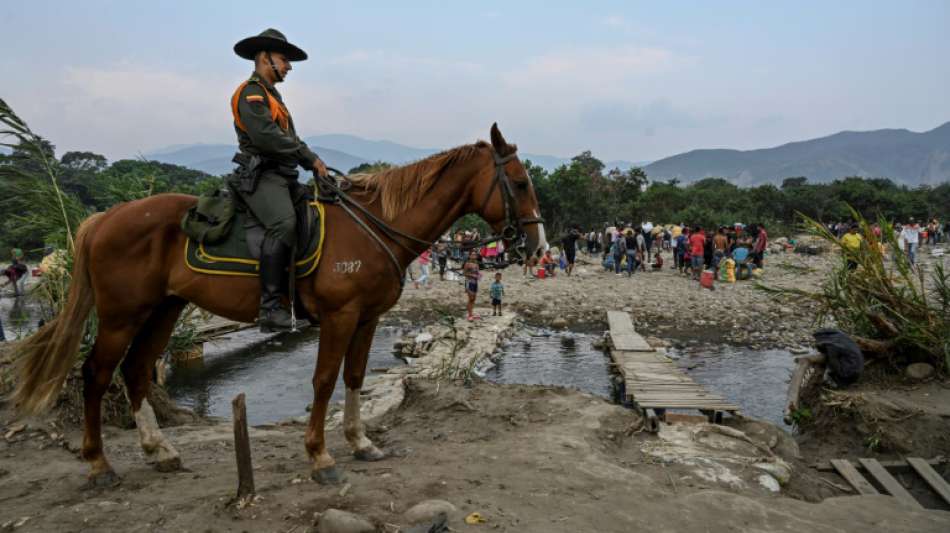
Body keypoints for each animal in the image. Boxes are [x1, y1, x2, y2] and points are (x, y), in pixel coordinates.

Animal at [13, 122, 552, 484]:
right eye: (519, 183)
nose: (538, 247)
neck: (373, 225)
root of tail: (104, 218)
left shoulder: (368, 319)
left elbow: (354, 379)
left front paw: (360, 442)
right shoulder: (339, 317)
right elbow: (324, 381)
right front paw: (320, 455)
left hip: (163, 310)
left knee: (136, 371)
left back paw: (159, 451)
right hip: (122, 315)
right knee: (97, 374)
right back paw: (100, 463)